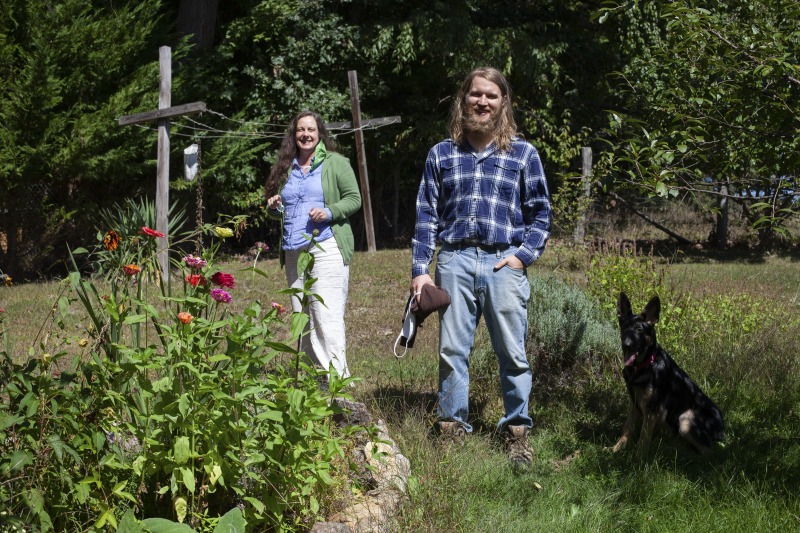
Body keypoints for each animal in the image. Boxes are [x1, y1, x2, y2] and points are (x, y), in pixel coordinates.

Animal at [612, 294, 724, 456]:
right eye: (624, 328)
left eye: (639, 329)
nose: (626, 345)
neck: (645, 366)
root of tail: (722, 431)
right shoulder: (634, 404)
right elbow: (626, 429)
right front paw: (616, 449)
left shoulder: (652, 411)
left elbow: (643, 438)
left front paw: (637, 458)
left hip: (685, 420)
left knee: (709, 452)